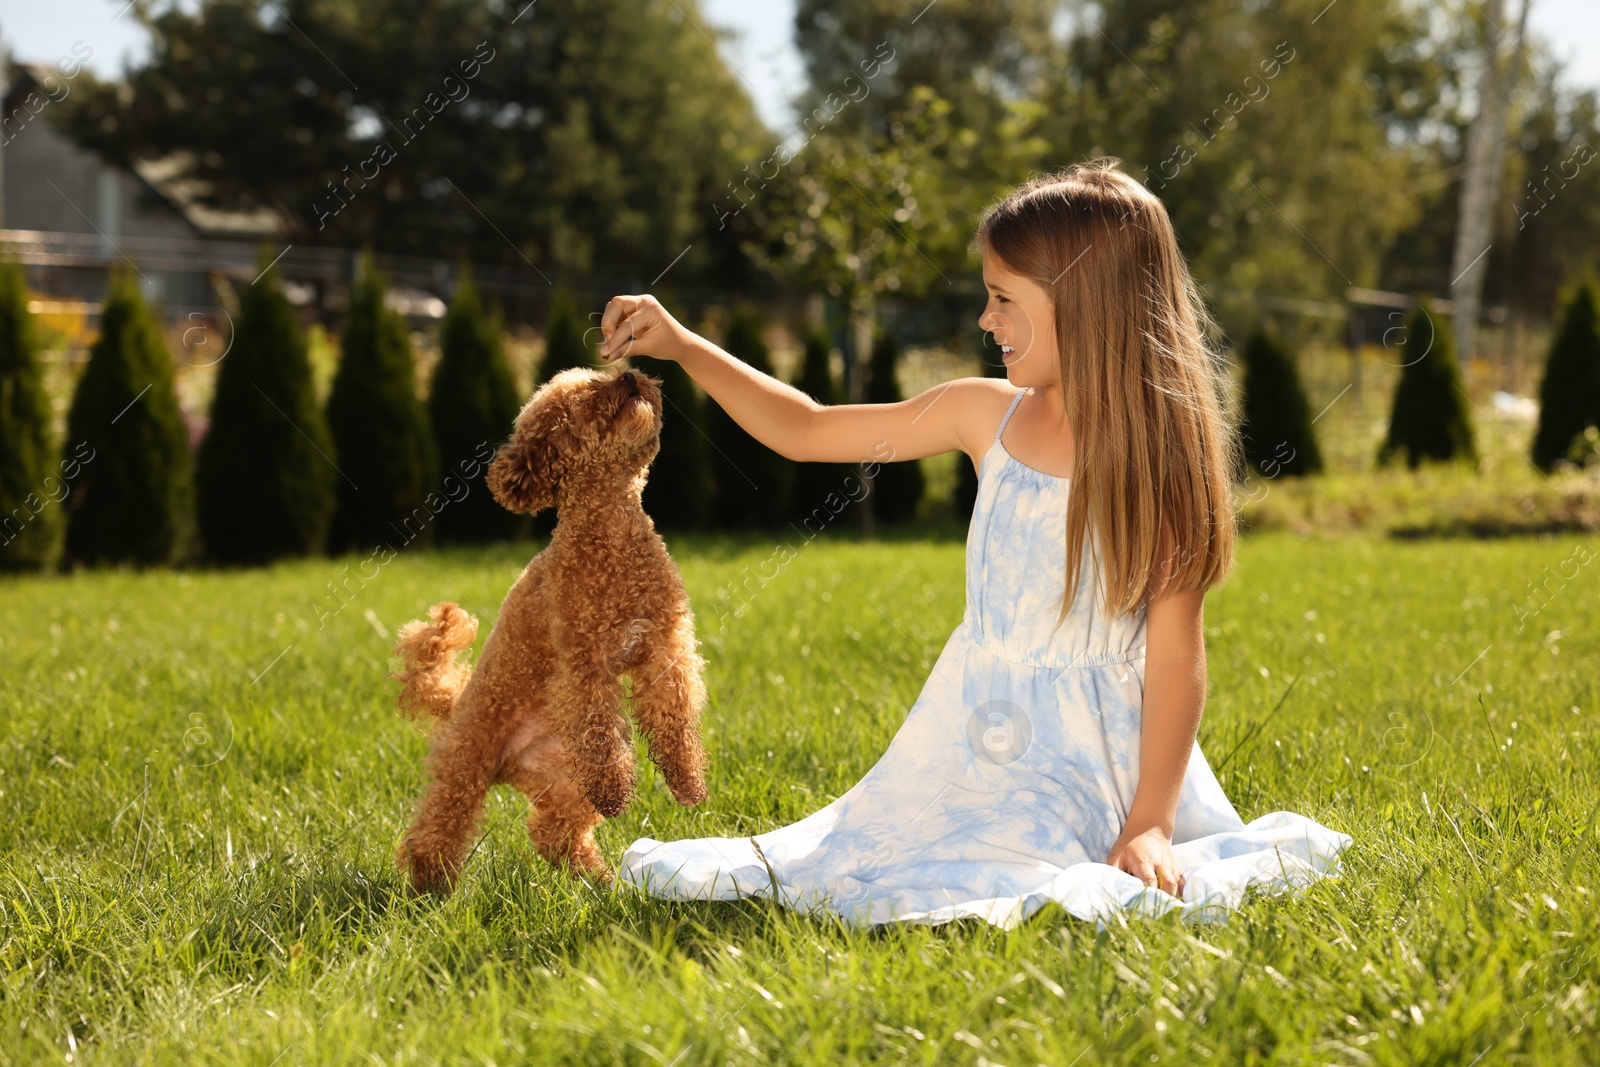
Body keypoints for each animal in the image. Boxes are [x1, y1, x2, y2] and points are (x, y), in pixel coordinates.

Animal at [387, 367, 707, 895]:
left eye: (600, 377)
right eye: (581, 401)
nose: (628, 374)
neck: (611, 537)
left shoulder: (665, 646)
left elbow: (674, 716)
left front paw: (688, 783)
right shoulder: (584, 662)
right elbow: (601, 732)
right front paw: (618, 792)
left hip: (566, 781)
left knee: (554, 833)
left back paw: (600, 883)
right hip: (465, 765)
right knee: (435, 830)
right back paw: (430, 891)